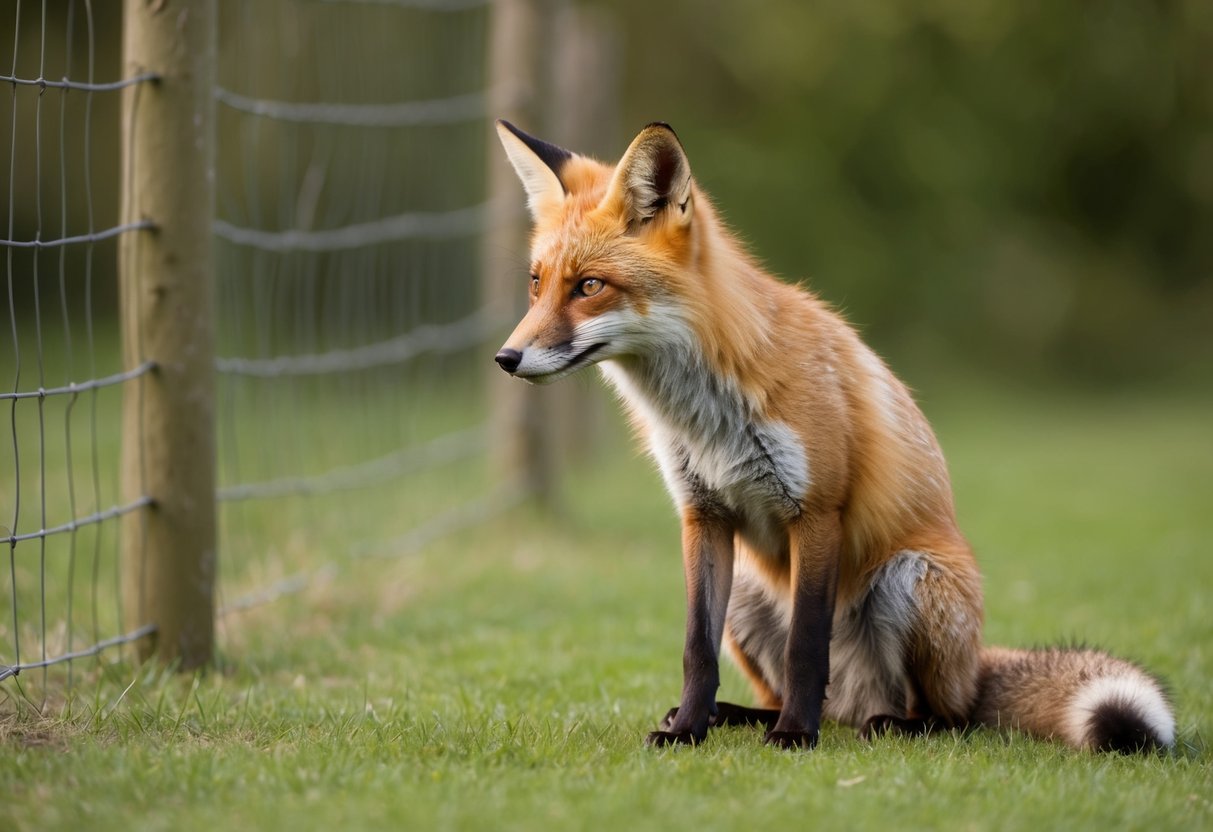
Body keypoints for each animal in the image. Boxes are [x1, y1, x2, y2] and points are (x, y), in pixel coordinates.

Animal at [491, 118, 1176, 753]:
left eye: (589, 286)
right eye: (536, 283)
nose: (506, 358)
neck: (707, 413)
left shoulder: (818, 510)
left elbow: (806, 645)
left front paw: (796, 735)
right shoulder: (703, 514)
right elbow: (695, 651)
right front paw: (688, 729)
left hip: (908, 580)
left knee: (947, 717)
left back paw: (880, 724)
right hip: (748, 593)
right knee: (794, 691)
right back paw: (740, 716)